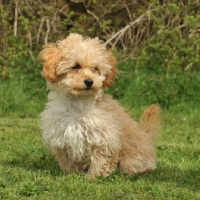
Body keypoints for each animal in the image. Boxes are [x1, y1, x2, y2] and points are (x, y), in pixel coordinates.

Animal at [38, 33, 161, 178]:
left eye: (95, 68)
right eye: (76, 66)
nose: (89, 81)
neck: (78, 104)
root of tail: (147, 137)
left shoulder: (104, 138)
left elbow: (100, 160)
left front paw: (93, 177)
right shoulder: (62, 138)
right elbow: (69, 161)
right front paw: (74, 174)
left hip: (132, 159)